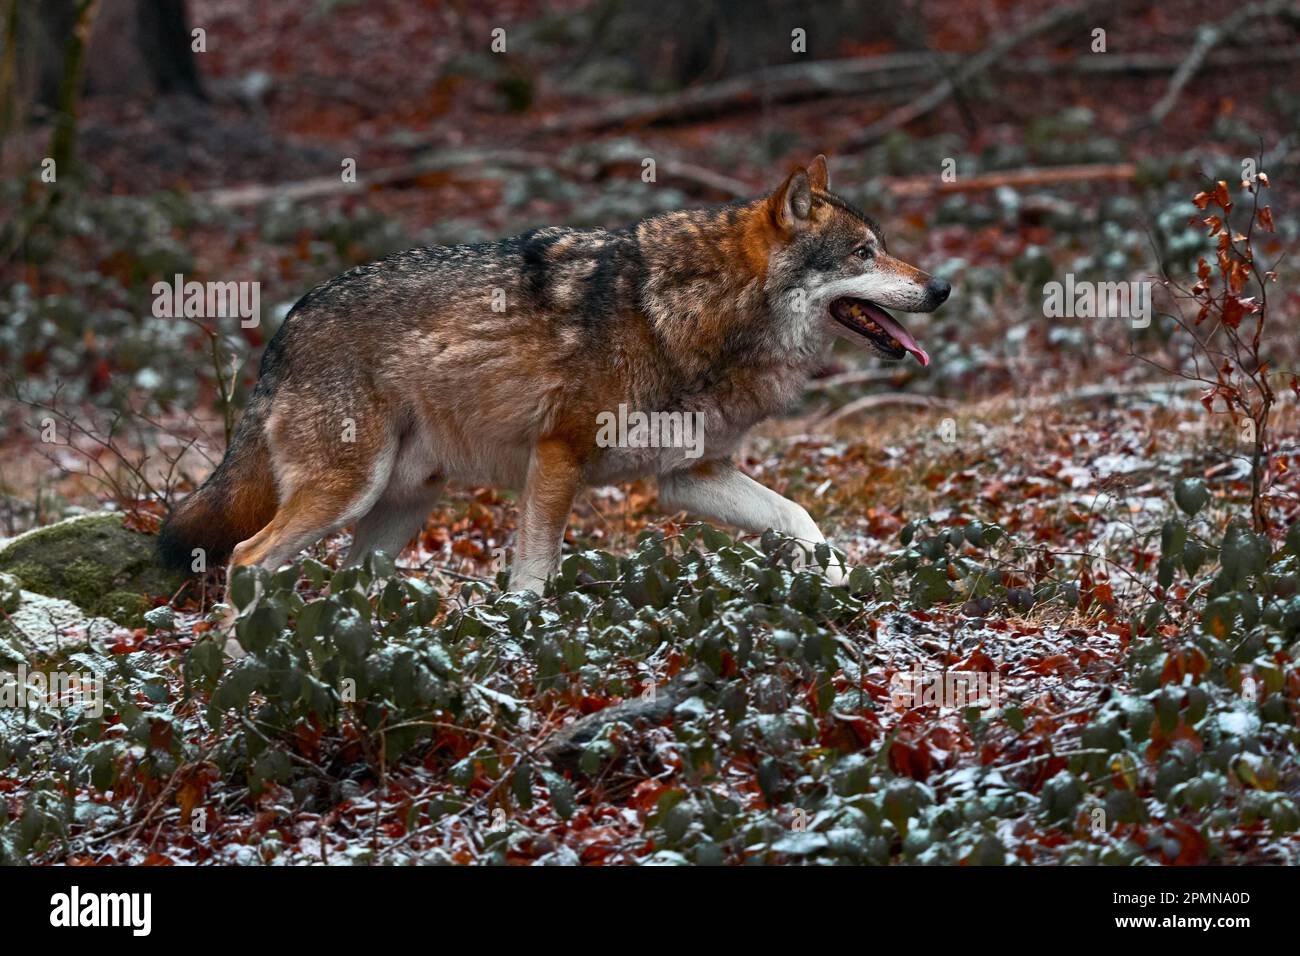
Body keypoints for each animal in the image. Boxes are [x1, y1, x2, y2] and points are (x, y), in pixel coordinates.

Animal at [157, 155, 950, 593]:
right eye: (863, 252)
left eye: (882, 245)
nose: (941, 287)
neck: (690, 311)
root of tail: (285, 324)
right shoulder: (559, 455)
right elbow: (533, 580)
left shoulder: (689, 476)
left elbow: (799, 517)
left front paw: (841, 583)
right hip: (347, 493)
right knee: (247, 560)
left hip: (399, 505)